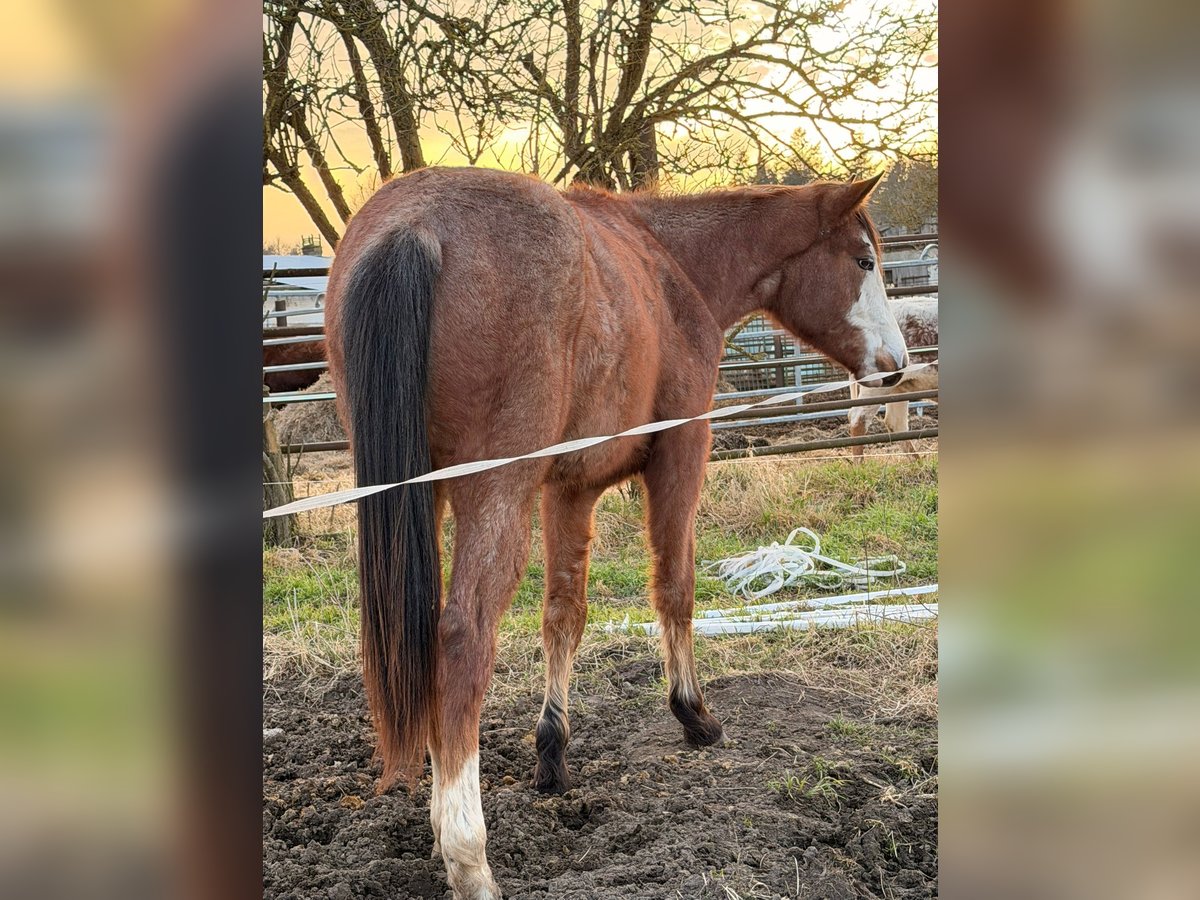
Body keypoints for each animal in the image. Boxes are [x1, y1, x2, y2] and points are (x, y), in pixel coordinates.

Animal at [323, 166, 908, 900]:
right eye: (863, 261)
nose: (897, 363)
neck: (671, 268)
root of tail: (415, 224)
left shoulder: (568, 489)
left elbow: (563, 614)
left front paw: (552, 754)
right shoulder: (682, 451)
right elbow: (675, 585)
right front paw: (693, 712)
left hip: (418, 497)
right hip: (494, 493)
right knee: (461, 638)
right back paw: (467, 854)